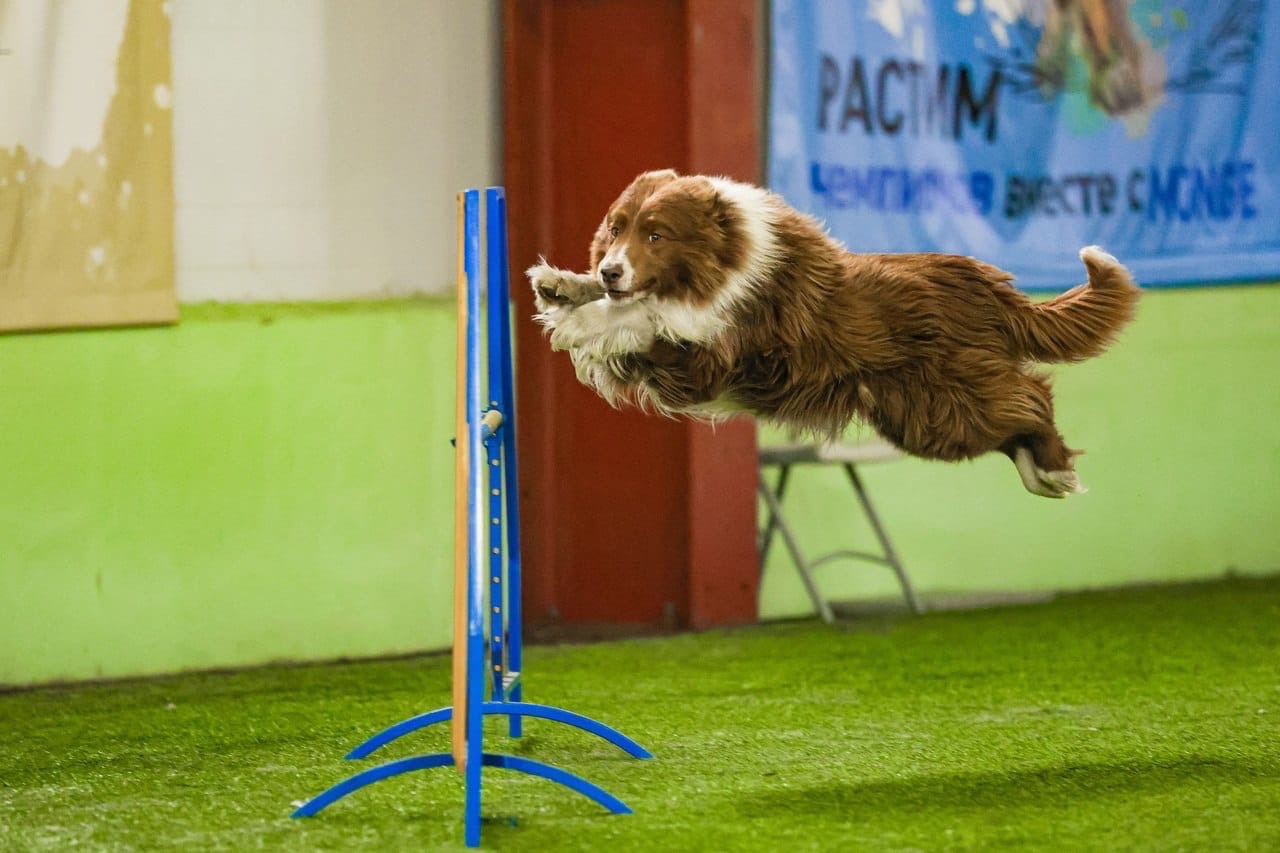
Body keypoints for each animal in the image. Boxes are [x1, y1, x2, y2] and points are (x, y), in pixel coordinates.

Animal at [529, 169, 1141, 494]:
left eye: (656, 236)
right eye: (616, 228)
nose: (612, 269)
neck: (724, 260)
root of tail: (985, 282)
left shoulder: (717, 348)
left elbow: (641, 314)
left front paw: (581, 318)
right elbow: (623, 307)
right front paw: (562, 286)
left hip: (952, 392)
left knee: (1031, 395)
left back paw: (1055, 465)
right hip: (922, 415)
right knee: (1010, 418)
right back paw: (1044, 472)